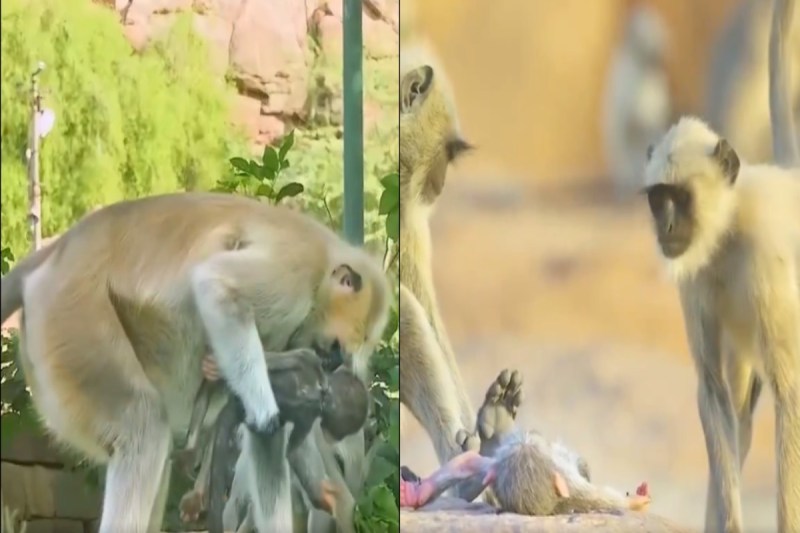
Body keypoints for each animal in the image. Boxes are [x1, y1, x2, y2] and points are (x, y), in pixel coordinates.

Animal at [0, 191, 390, 533]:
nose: (333, 360)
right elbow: (216, 284)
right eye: (340, 347)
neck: (324, 261)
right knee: (143, 421)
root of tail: (57, 254)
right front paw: (266, 415)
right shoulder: (296, 272)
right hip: (73, 320)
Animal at [399, 370, 652, 515]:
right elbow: (607, 499)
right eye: (542, 450)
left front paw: (414, 493)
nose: (530, 437)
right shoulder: (575, 487)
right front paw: (637, 499)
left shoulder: (497, 464)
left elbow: (468, 463)